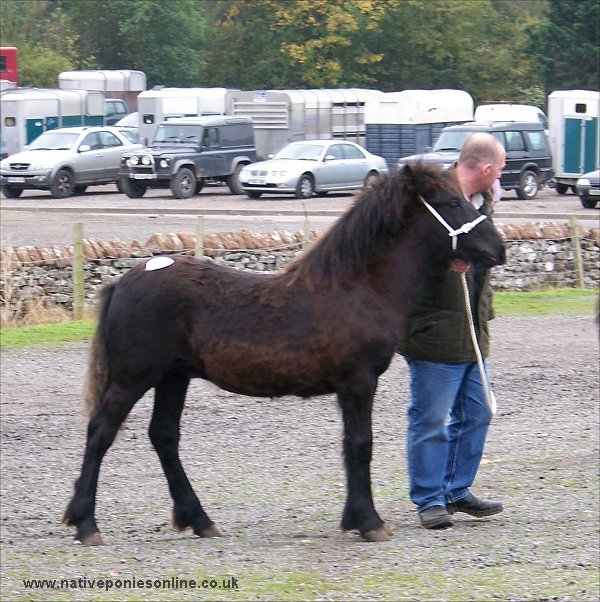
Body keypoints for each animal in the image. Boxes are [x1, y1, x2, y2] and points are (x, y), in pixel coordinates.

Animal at [63, 164, 504, 544]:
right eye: (450, 202)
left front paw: (353, 518)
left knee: (164, 437)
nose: (497, 249)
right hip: (133, 378)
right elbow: (361, 445)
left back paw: (200, 520)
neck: (355, 286)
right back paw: (86, 524)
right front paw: (369, 522)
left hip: (174, 377)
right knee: (100, 433)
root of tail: (126, 281)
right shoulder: (358, 382)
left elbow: (350, 447)